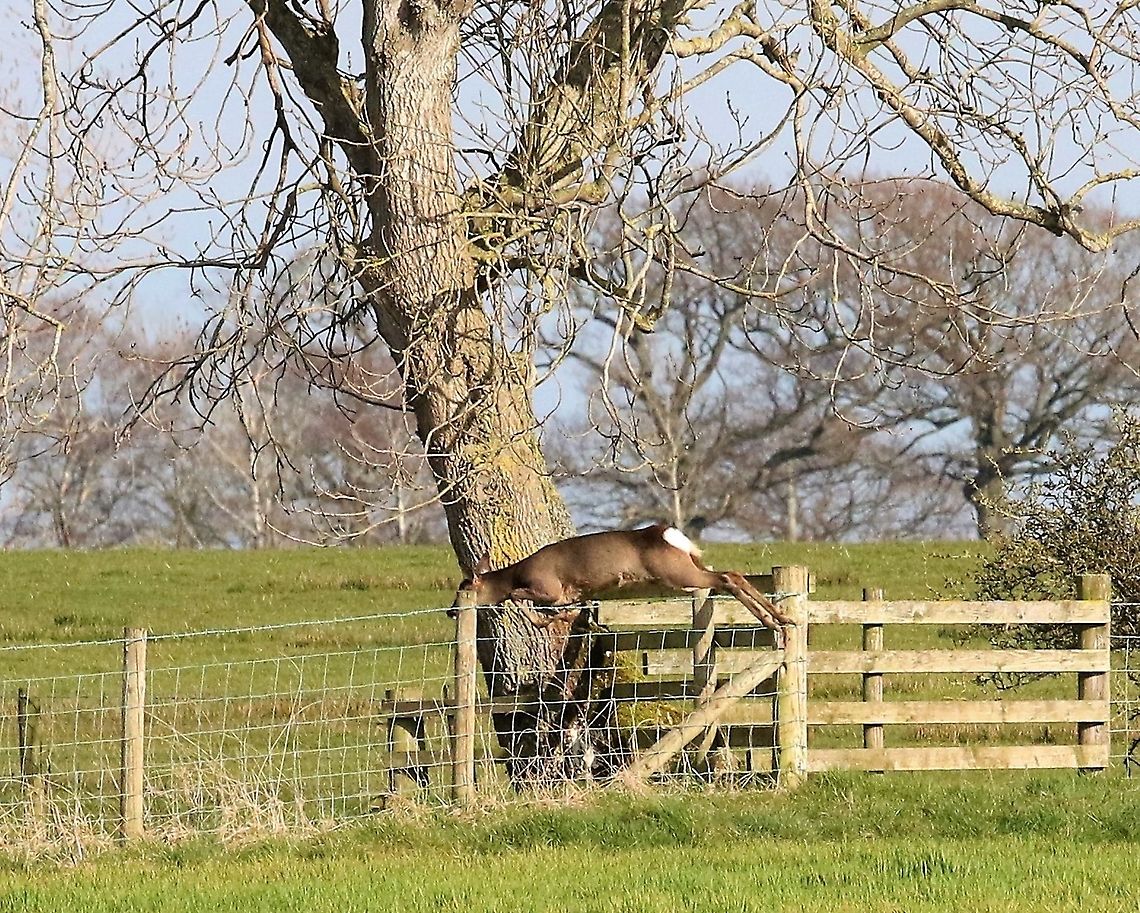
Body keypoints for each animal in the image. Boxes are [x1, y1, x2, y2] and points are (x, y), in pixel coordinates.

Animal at [453, 524, 792, 632]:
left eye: (465, 587)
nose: (451, 610)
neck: (516, 573)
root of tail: (669, 533)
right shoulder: (569, 593)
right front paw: (569, 618)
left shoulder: (548, 586)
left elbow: (516, 598)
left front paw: (548, 621)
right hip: (689, 567)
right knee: (732, 573)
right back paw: (783, 619)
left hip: (676, 573)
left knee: (726, 578)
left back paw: (774, 623)